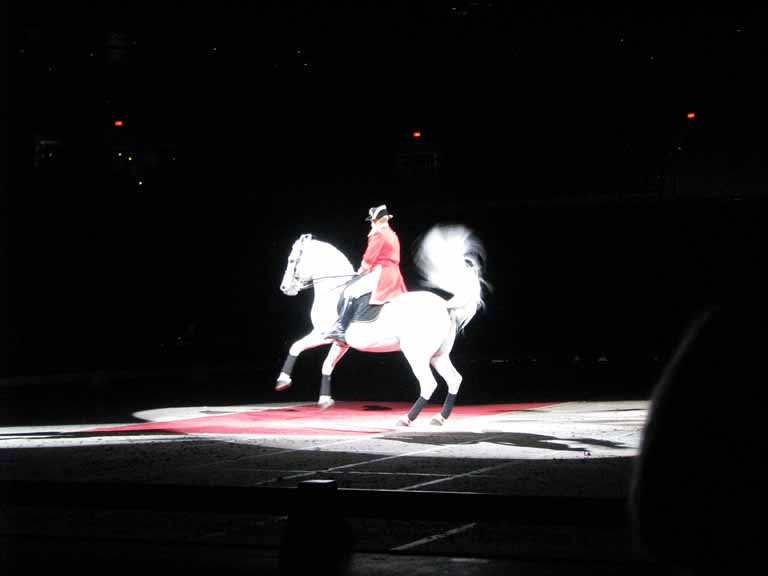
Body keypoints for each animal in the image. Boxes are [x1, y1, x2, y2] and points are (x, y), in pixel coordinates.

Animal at [280, 223, 488, 426]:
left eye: (291, 260)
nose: (284, 288)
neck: (334, 290)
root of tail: (444, 305)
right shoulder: (341, 343)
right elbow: (327, 365)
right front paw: (324, 400)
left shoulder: (321, 333)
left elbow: (295, 346)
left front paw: (282, 380)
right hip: (439, 355)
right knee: (454, 379)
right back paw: (440, 417)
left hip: (416, 354)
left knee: (428, 384)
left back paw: (406, 418)